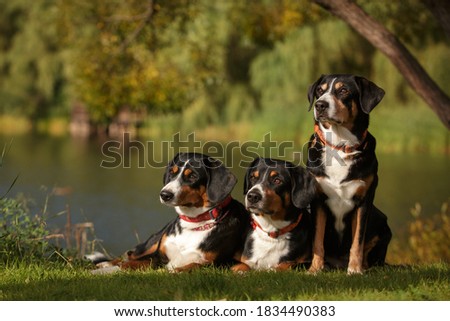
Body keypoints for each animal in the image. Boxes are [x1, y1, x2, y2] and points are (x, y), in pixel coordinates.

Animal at [114, 151, 248, 272]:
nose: (164, 194)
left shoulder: (219, 263)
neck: (193, 222)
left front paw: (179, 270)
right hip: (149, 244)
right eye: (171, 173)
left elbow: (195, 265)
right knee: (129, 255)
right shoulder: (158, 255)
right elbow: (142, 261)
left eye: (193, 176)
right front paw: (121, 267)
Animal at [306, 74, 390, 274]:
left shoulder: (364, 201)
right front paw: (315, 269)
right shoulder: (318, 200)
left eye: (343, 90)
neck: (340, 146)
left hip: (382, 221)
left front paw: (355, 269)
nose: (320, 105)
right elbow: (317, 239)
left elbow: (357, 241)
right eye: (320, 90)